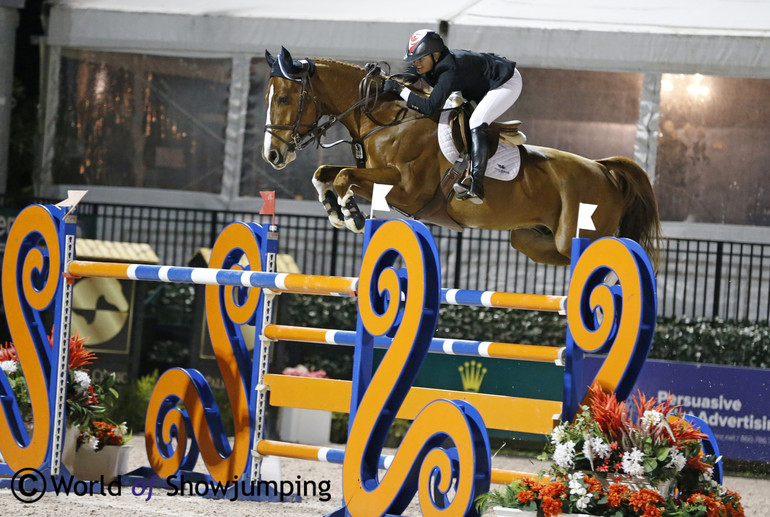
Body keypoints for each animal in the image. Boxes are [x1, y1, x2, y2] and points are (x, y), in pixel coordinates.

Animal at [260, 46, 656, 268]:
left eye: (284, 98)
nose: (273, 155)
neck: (385, 119)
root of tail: (605, 170)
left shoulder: (407, 189)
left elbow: (343, 176)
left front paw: (352, 216)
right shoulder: (380, 184)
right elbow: (326, 173)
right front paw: (335, 210)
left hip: (576, 233)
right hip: (531, 239)